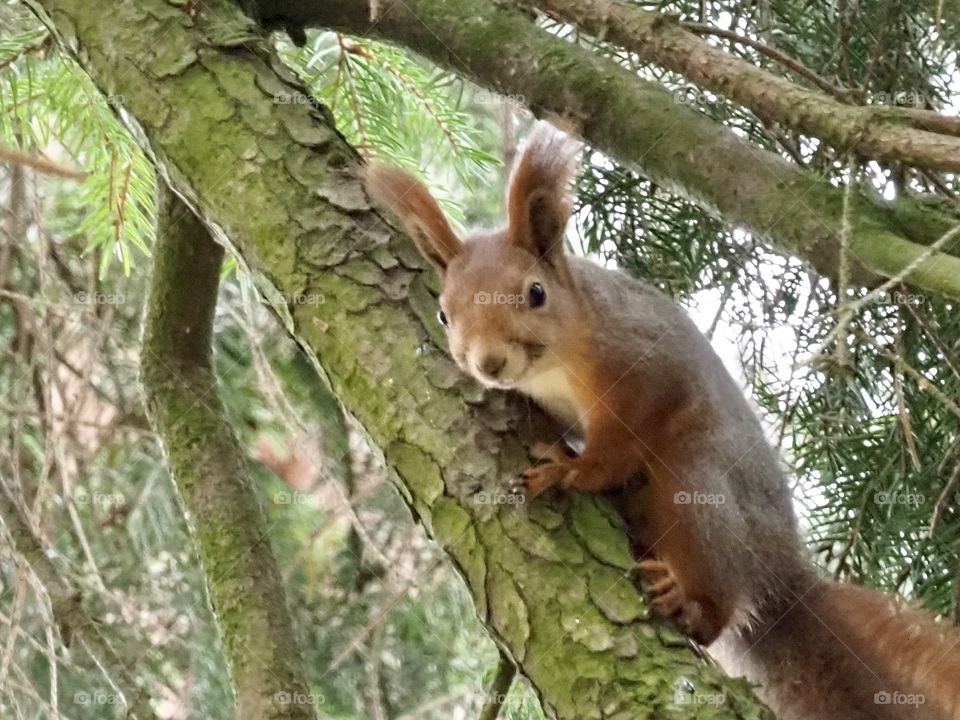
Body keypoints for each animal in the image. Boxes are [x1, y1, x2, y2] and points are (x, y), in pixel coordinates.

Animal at [363, 121, 960, 720]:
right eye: (445, 313)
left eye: (535, 293)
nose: (489, 363)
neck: (558, 362)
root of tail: (783, 579)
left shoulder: (645, 366)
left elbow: (621, 440)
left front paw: (570, 470)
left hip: (700, 482)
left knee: (720, 600)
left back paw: (689, 604)